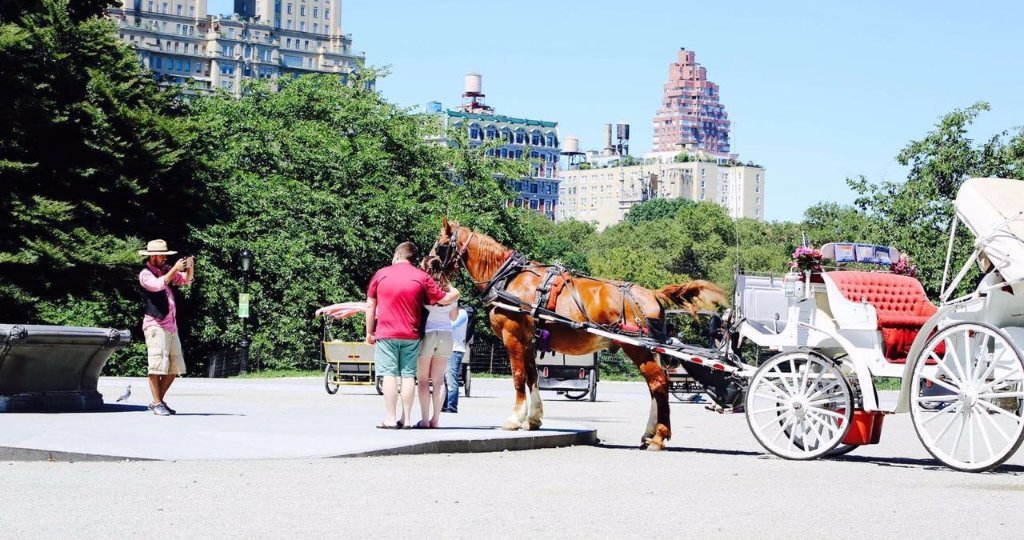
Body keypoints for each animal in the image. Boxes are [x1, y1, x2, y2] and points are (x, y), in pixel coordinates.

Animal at [434, 217, 729, 450]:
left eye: (440, 245)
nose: (427, 263)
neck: (508, 279)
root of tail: (651, 293)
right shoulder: (528, 341)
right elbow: (532, 377)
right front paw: (534, 419)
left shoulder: (513, 336)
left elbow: (518, 378)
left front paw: (515, 419)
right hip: (647, 349)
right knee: (656, 387)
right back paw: (649, 434)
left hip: (637, 348)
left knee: (658, 384)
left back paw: (659, 437)